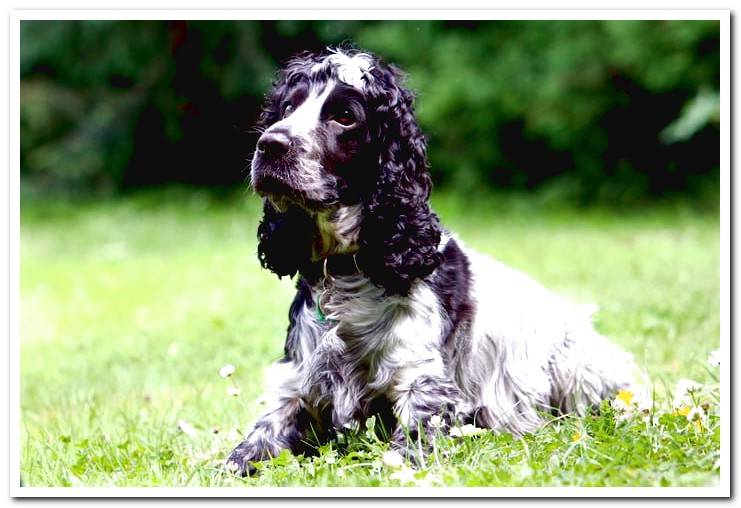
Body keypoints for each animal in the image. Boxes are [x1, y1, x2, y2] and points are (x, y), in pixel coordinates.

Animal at [224, 47, 640, 476]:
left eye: (345, 117)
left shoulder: (423, 383)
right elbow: (248, 449)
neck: (346, 274)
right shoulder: (298, 385)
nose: (270, 145)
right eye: (288, 107)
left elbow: (406, 450)